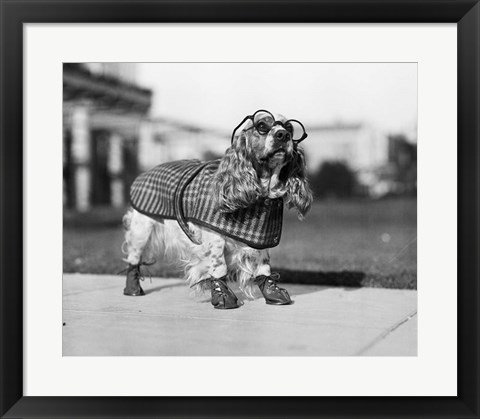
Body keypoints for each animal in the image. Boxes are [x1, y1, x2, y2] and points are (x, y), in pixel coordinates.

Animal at [122, 110, 314, 310]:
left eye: (290, 128)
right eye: (262, 125)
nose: (283, 135)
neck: (261, 195)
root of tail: (145, 172)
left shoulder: (261, 242)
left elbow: (264, 268)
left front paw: (273, 293)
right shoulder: (215, 239)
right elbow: (219, 267)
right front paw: (224, 297)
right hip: (141, 230)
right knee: (133, 259)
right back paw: (133, 289)